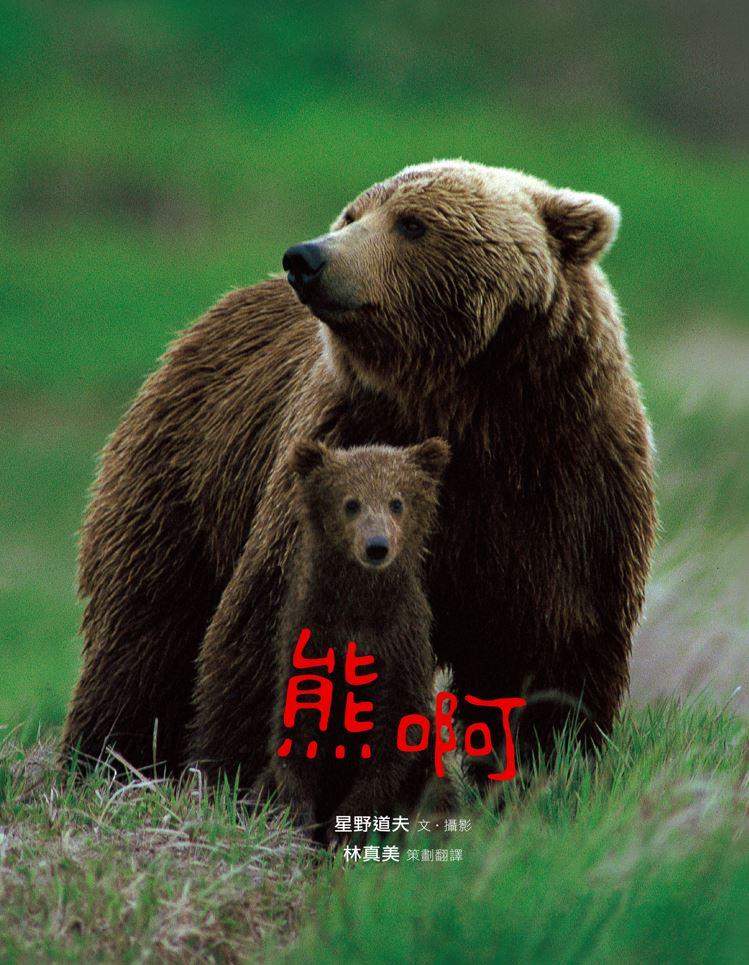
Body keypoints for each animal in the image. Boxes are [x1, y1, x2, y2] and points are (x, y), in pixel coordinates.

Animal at [62, 160, 656, 787]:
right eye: (352, 215)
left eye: (413, 223)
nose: (305, 258)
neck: (463, 405)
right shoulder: (343, 445)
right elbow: (282, 618)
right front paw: (245, 771)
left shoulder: (565, 480)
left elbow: (551, 641)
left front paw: (544, 765)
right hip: (183, 474)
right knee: (147, 626)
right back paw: (106, 759)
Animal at [266, 436, 449, 843]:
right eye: (351, 502)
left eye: (397, 501)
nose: (377, 546)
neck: (360, 605)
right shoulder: (314, 633)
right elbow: (299, 722)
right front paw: (298, 814)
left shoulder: (399, 645)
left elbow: (395, 735)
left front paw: (346, 825)